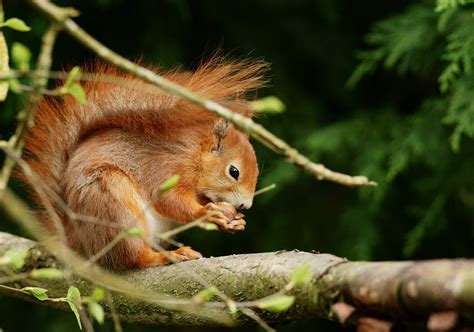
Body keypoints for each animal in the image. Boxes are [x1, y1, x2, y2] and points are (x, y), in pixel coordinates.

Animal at [20, 58, 264, 268]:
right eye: (234, 171)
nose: (246, 205)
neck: (194, 153)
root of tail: (77, 241)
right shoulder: (166, 167)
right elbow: (170, 200)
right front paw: (207, 213)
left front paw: (234, 220)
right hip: (114, 203)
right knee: (133, 256)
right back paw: (169, 255)